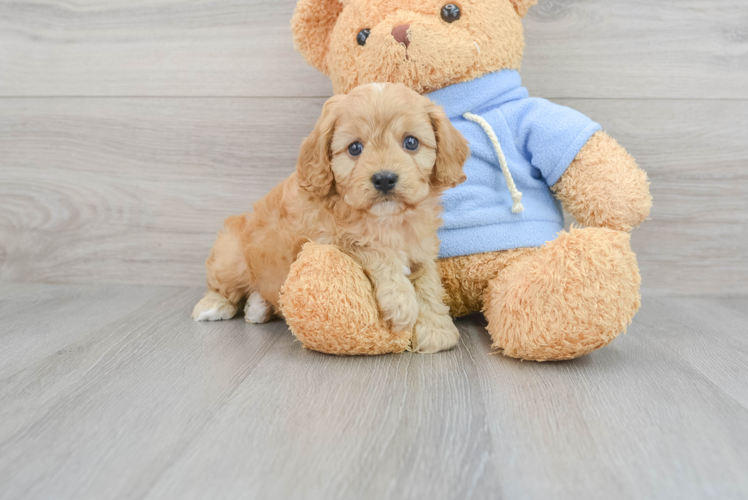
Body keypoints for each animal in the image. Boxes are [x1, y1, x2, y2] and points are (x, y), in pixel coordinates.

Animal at [191, 82, 468, 354]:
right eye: (355, 148)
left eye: (411, 142)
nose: (384, 179)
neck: (386, 220)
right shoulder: (325, 240)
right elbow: (375, 249)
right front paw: (402, 302)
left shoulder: (421, 248)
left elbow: (428, 283)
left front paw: (435, 330)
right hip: (231, 255)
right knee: (222, 284)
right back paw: (213, 306)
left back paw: (257, 306)